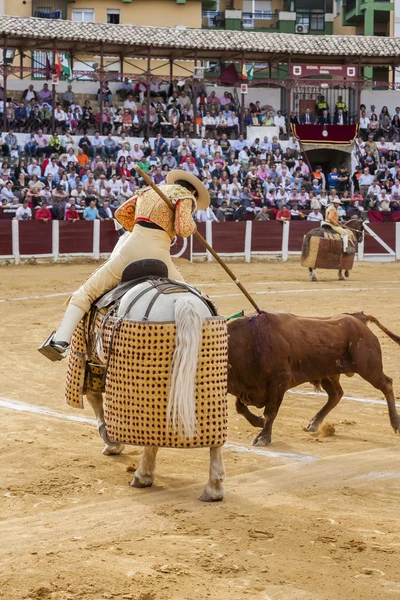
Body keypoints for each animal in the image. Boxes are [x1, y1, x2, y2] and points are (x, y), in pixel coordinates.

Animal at [86, 282, 227, 502]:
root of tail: (183, 301)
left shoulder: (91, 358)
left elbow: (94, 398)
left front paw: (112, 443)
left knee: (150, 434)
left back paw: (142, 476)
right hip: (208, 380)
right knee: (215, 438)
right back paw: (213, 489)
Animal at [228, 310, 400, 446]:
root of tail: (358, 318)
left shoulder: (278, 382)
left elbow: (270, 412)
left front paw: (263, 437)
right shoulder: (245, 387)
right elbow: (240, 407)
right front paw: (258, 422)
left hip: (369, 368)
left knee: (386, 384)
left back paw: (395, 424)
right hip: (328, 375)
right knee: (336, 394)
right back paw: (314, 423)